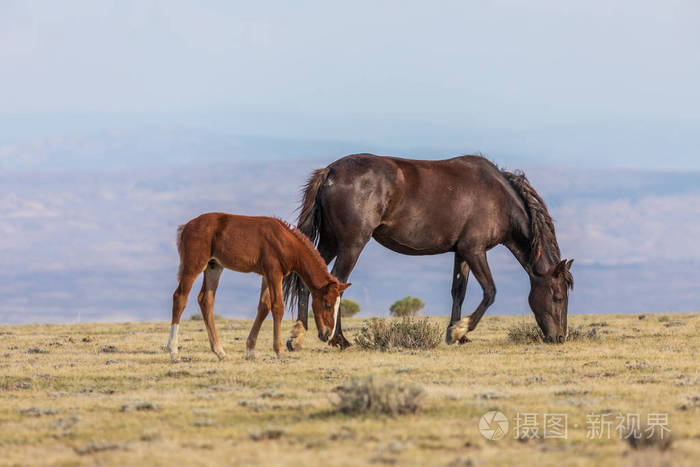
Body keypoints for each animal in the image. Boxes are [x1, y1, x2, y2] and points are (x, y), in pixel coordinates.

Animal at [167, 212, 350, 362]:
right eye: (327, 304)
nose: (327, 335)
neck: (285, 241)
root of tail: (186, 226)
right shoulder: (274, 273)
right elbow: (278, 307)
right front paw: (280, 351)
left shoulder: (267, 276)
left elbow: (264, 306)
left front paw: (250, 351)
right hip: (194, 264)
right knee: (180, 297)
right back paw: (174, 352)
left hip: (214, 267)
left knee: (206, 300)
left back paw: (220, 352)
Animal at [283, 154, 573, 350]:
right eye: (558, 297)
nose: (560, 338)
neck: (498, 198)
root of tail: (330, 172)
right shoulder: (475, 250)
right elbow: (490, 292)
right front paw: (460, 330)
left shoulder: (462, 253)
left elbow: (459, 292)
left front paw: (456, 334)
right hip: (350, 245)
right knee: (337, 283)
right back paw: (338, 339)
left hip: (330, 242)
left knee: (306, 282)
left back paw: (298, 336)